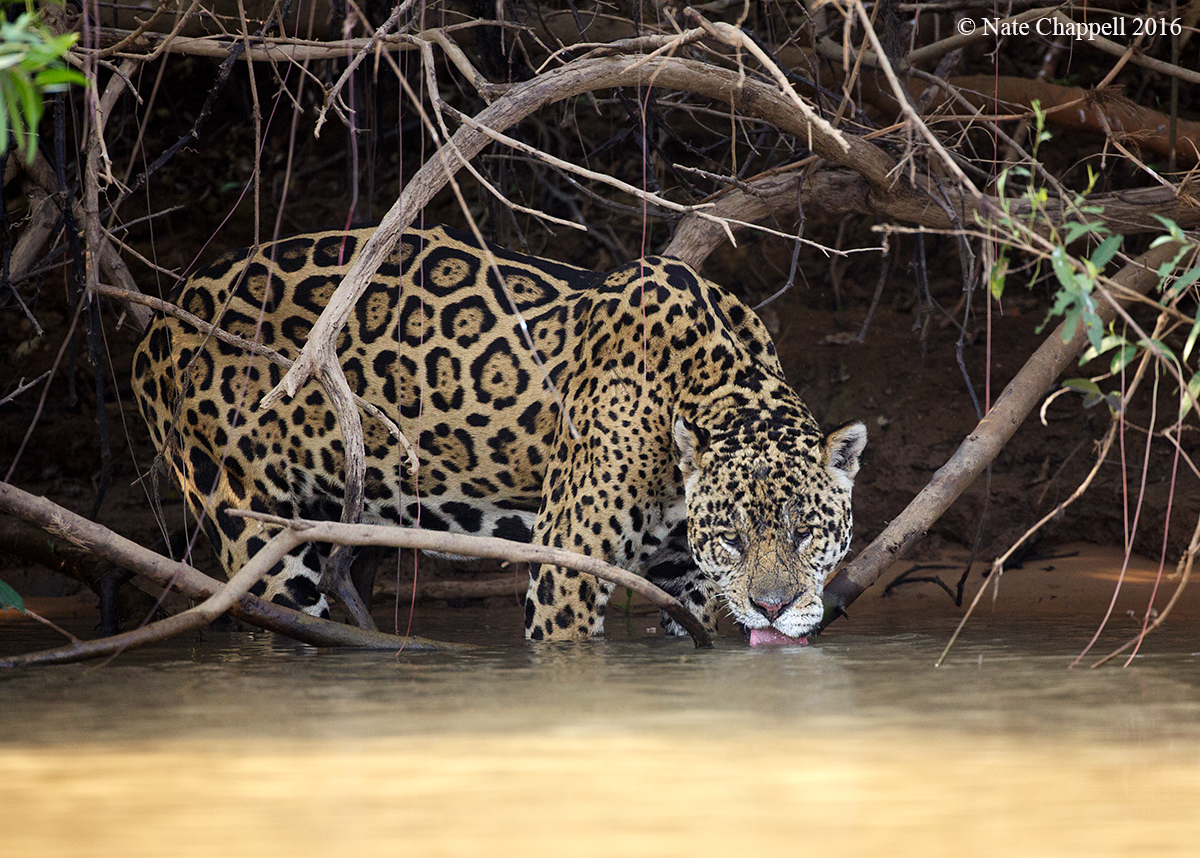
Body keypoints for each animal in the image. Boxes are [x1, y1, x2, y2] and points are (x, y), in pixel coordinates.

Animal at [132, 224, 866, 644]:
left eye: (807, 531)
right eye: (733, 538)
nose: (772, 608)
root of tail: (160, 322)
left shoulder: (685, 580)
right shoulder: (567, 569)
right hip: (253, 529)